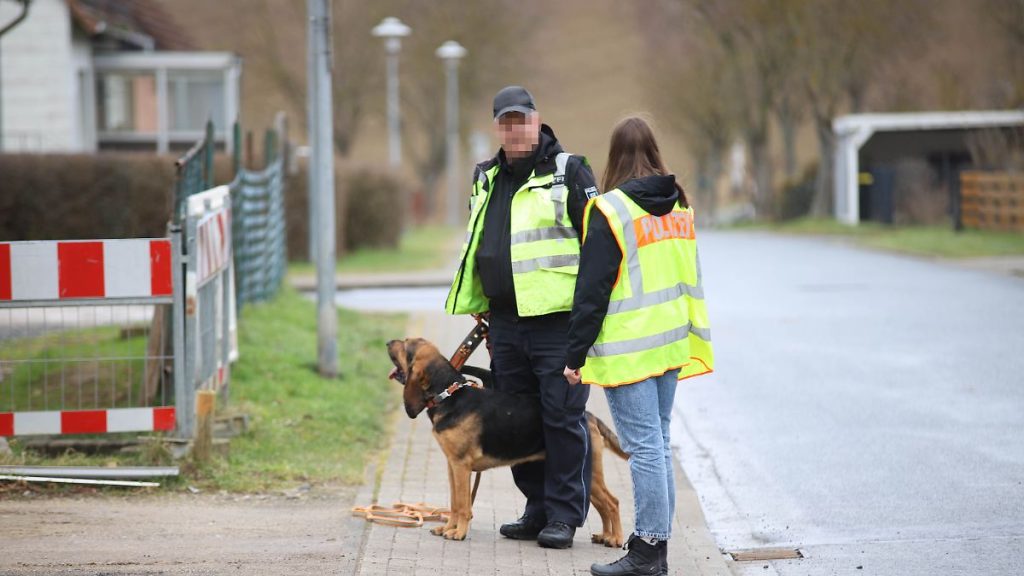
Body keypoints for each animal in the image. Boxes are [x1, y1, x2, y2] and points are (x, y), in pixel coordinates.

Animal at [385, 336, 622, 541]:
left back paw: (615, 539)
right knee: (604, 505)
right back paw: (604, 536)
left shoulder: (461, 466)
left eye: (406, 346)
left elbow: (463, 505)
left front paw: (458, 533)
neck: (449, 395)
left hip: (587, 470)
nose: (387, 342)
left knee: (612, 502)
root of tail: (589, 416)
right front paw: (448, 528)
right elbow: (454, 503)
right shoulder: (452, 465)